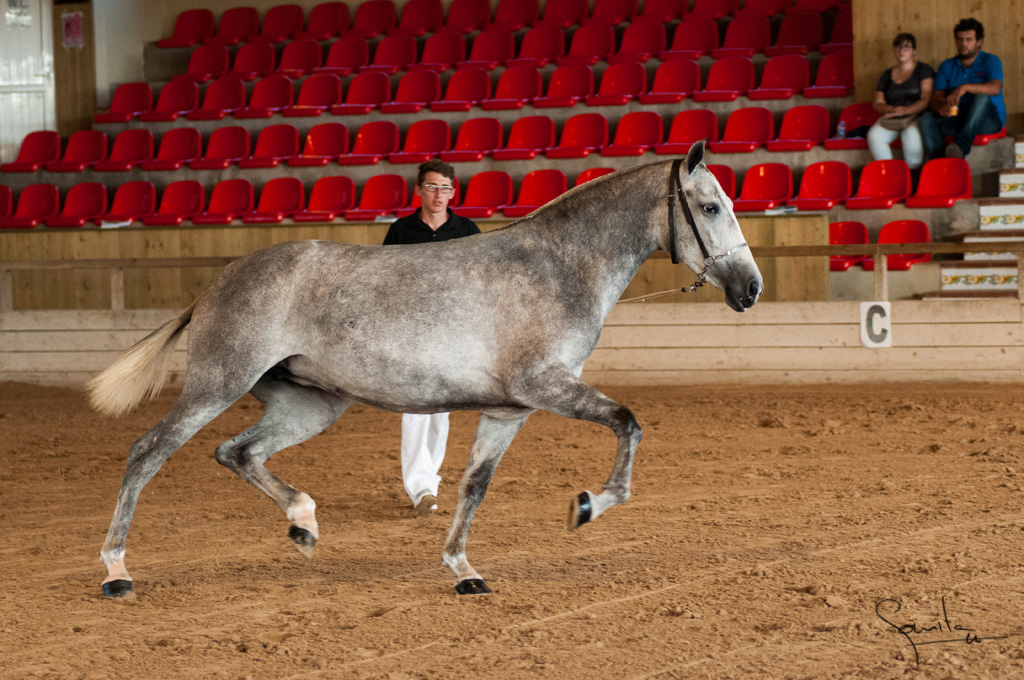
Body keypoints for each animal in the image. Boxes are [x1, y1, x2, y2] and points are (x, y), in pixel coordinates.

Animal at [88, 140, 761, 598]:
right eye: (709, 206)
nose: (751, 288)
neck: (557, 267)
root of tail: (220, 282)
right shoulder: (545, 386)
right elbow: (627, 423)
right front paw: (589, 506)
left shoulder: (508, 410)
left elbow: (474, 485)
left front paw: (464, 570)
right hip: (217, 384)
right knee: (147, 453)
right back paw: (117, 571)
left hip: (309, 405)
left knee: (239, 452)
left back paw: (304, 525)